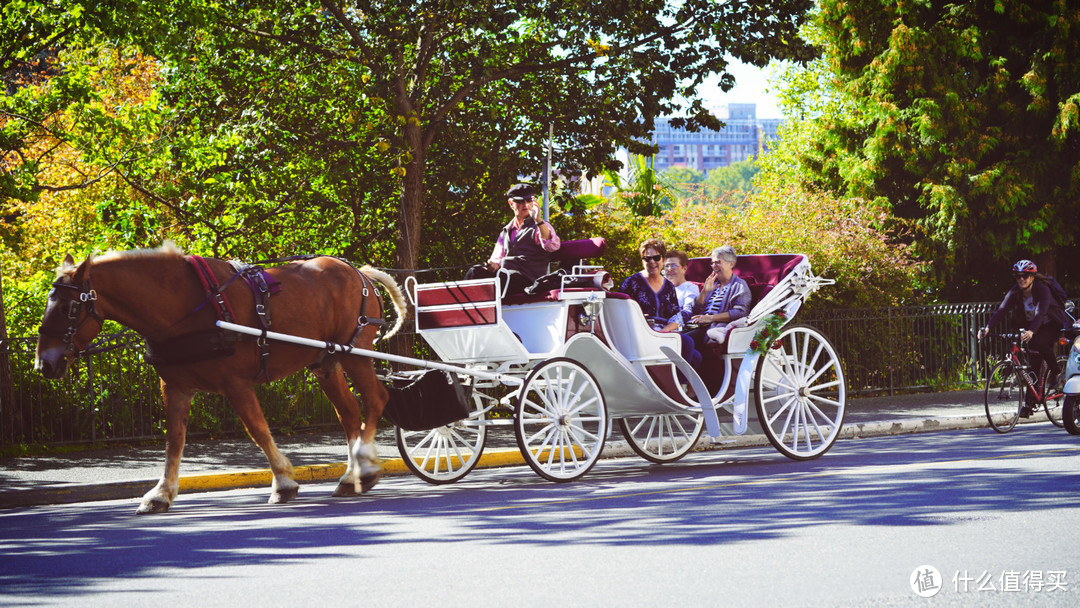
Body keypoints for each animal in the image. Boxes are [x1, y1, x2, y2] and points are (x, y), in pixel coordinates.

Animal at [34, 242, 406, 514]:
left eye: (69, 308)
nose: (43, 365)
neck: (187, 304)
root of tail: (358, 272)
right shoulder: (175, 387)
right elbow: (174, 440)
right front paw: (161, 494)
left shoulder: (235, 382)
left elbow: (257, 429)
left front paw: (283, 482)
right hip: (326, 362)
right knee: (350, 413)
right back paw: (351, 477)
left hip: (355, 352)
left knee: (377, 400)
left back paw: (365, 469)